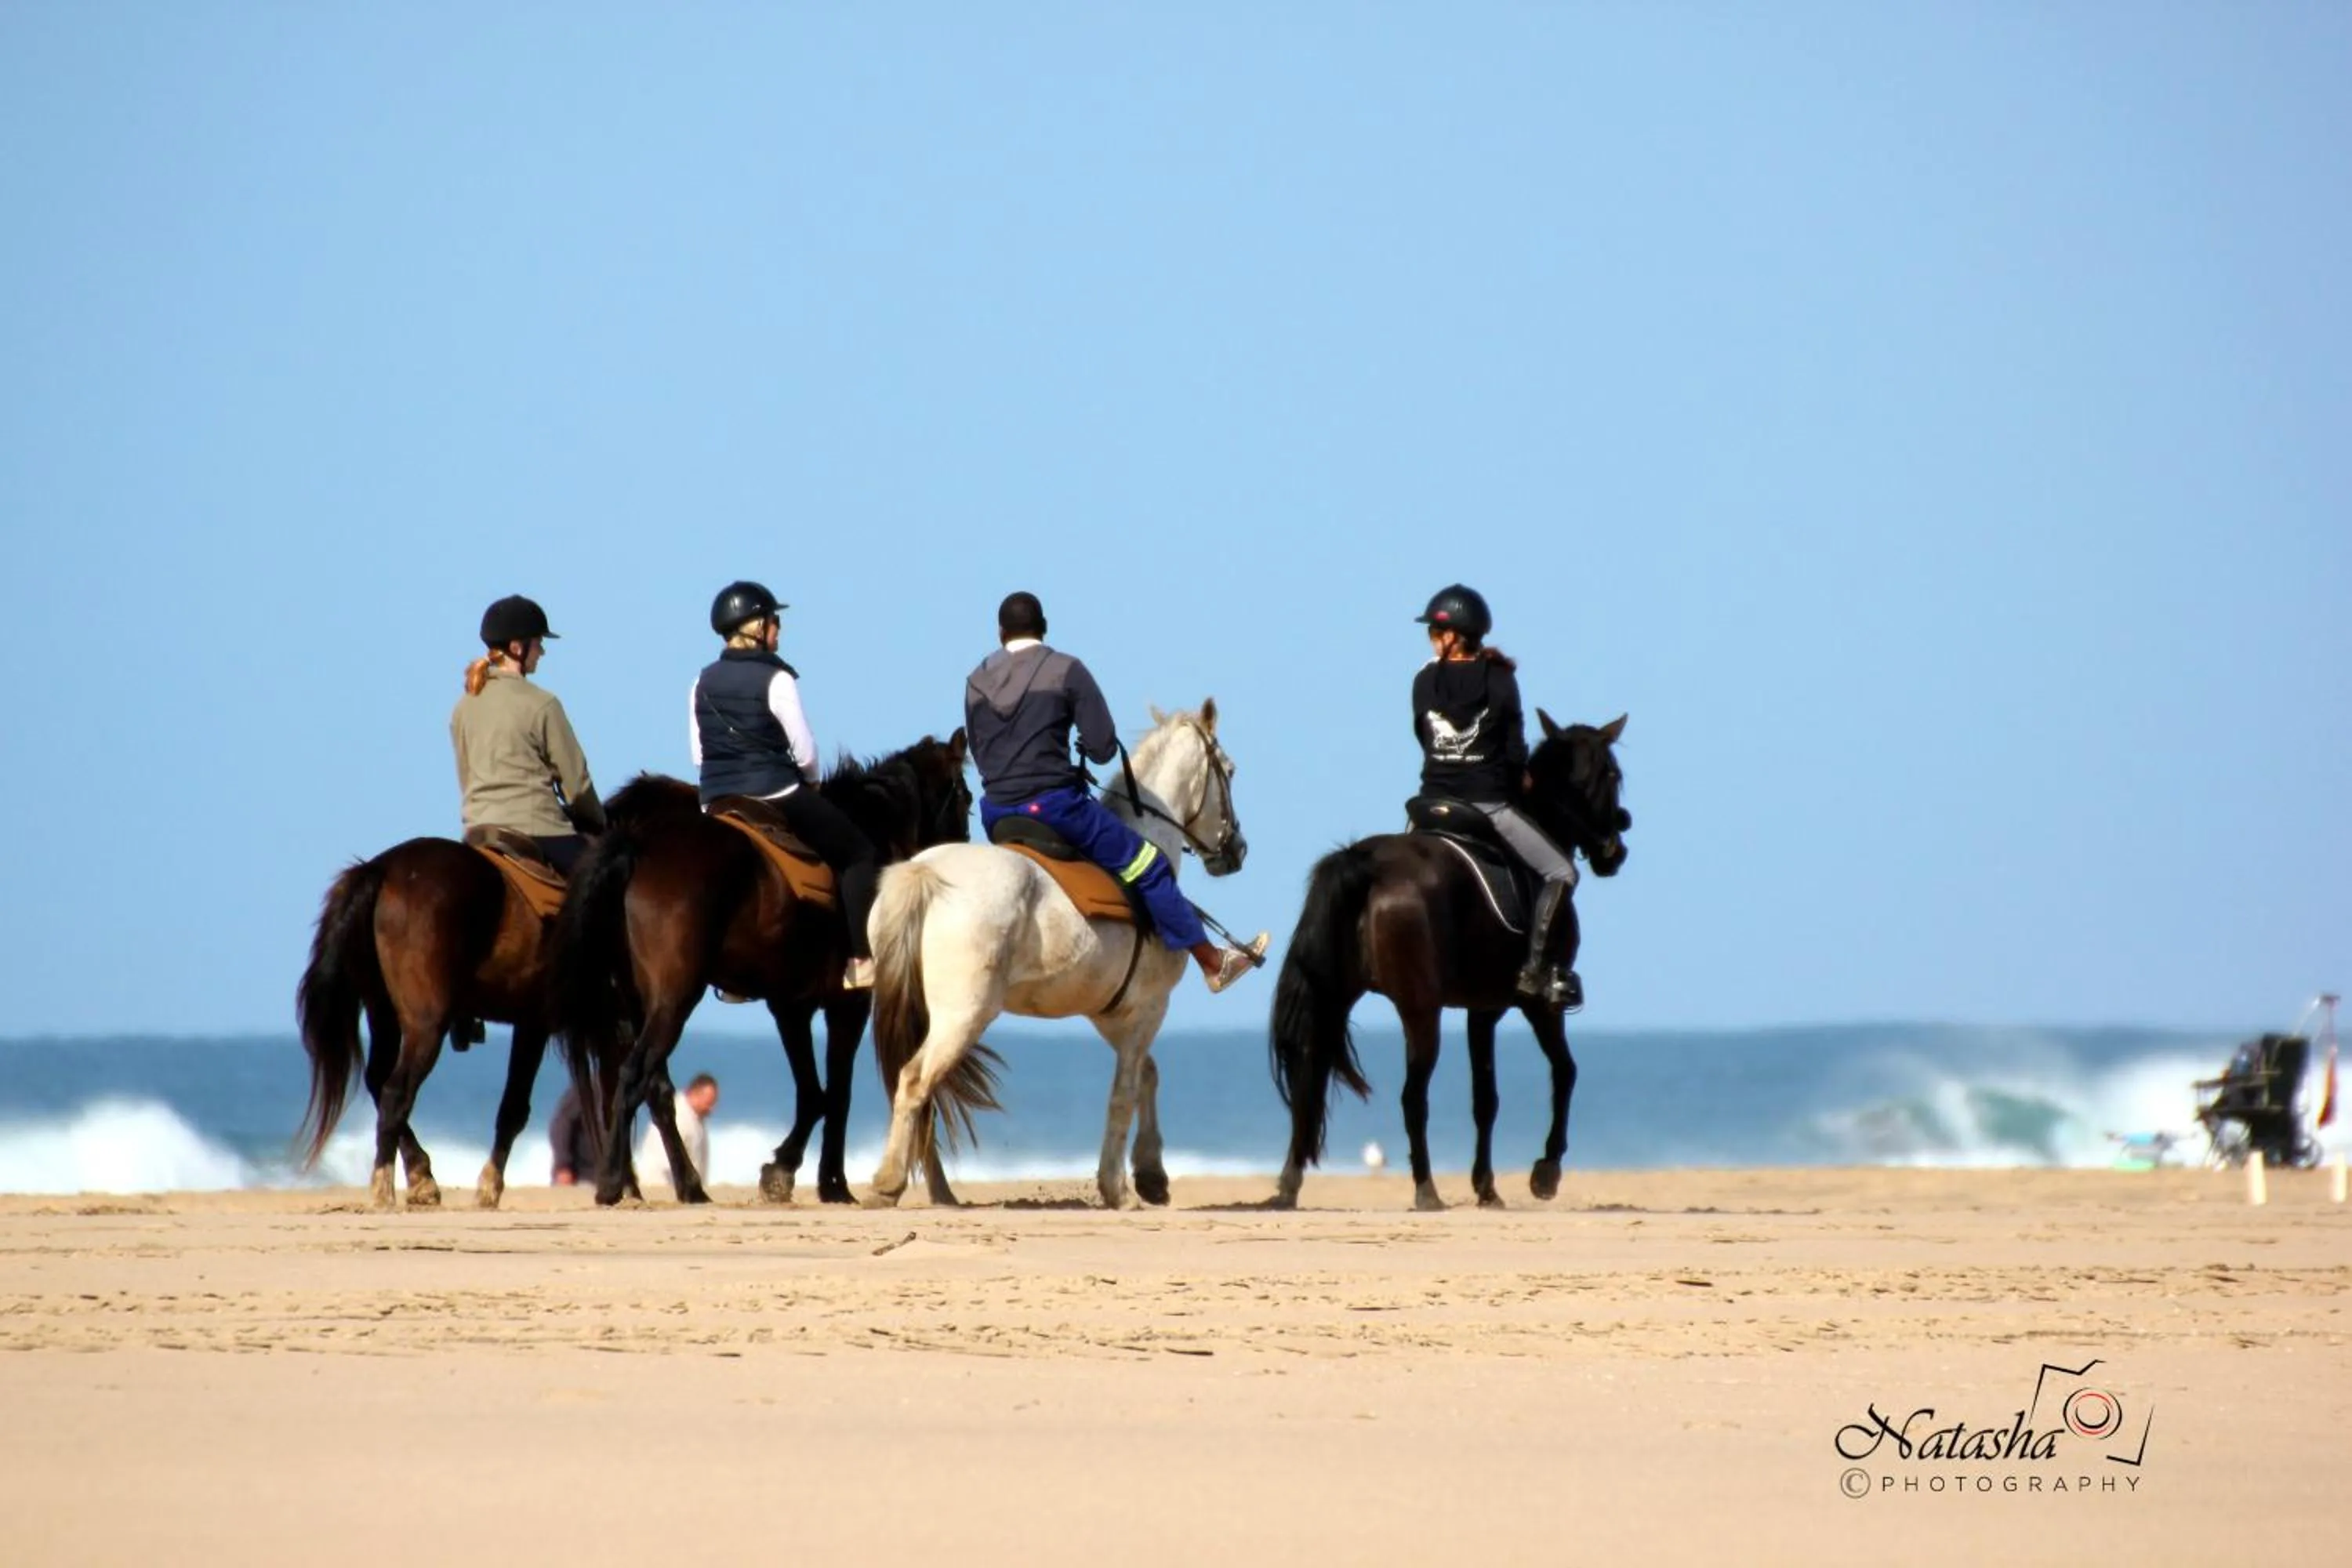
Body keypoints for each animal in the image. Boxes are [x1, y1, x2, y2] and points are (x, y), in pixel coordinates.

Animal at [294, 786, 697, 1211]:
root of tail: (381, 869)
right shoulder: (598, 1022)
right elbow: (643, 1094)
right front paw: (678, 1185)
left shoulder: (565, 1025)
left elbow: (601, 1098)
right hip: (426, 1023)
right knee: (395, 1091)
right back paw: (386, 1186)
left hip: (383, 1013)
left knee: (378, 1080)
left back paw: (422, 1177)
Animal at [550, 733, 973, 1207]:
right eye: (966, 798)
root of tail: (637, 846)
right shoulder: (847, 1006)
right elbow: (835, 1095)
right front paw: (830, 1183)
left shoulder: (790, 1006)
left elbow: (812, 1093)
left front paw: (784, 1171)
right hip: (673, 1001)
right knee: (634, 1076)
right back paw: (612, 1182)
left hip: (632, 1005)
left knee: (655, 1089)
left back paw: (687, 1185)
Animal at [866, 701, 1251, 1210]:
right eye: (1228, 769)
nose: (1237, 850)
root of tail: (923, 872)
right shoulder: (1148, 1008)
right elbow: (1125, 1092)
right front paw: (1118, 1188)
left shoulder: (1110, 1013)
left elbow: (1147, 1075)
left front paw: (1152, 1175)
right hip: (962, 1015)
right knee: (914, 1080)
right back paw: (888, 1182)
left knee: (914, 1086)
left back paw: (938, 1190)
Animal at [1268, 711, 1630, 1211]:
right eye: (1613, 775)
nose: (1617, 849)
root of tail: (1365, 862)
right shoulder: (1539, 1005)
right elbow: (1565, 1072)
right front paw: (1546, 1172)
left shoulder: (1483, 1009)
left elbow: (1486, 1098)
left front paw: (1487, 1187)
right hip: (1421, 1010)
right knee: (1412, 1097)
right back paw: (1426, 1189)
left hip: (1334, 998)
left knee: (1309, 1077)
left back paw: (1289, 1184)